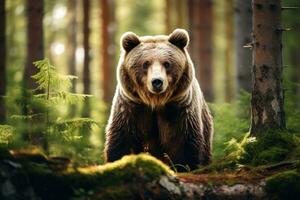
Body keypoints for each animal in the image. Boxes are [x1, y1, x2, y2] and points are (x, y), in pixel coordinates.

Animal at [104, 29, 212, 170]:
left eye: (167, 64)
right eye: (145, 63)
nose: (157, 81)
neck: (155, 101)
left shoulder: (180, 109)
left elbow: (183, 140)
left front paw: (183, 166)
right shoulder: (131, 108)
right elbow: (123, 138)